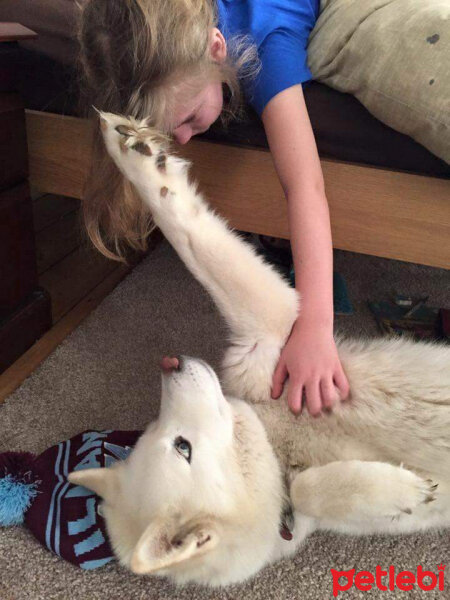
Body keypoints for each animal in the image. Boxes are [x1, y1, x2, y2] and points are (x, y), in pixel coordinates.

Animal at [67, 112, 450, 584]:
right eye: (180, 445)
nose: (169, 361)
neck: (279, 448)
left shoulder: (272, 337)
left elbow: (187, 233)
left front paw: (134, 153)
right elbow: (307, 490)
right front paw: (404, 489)